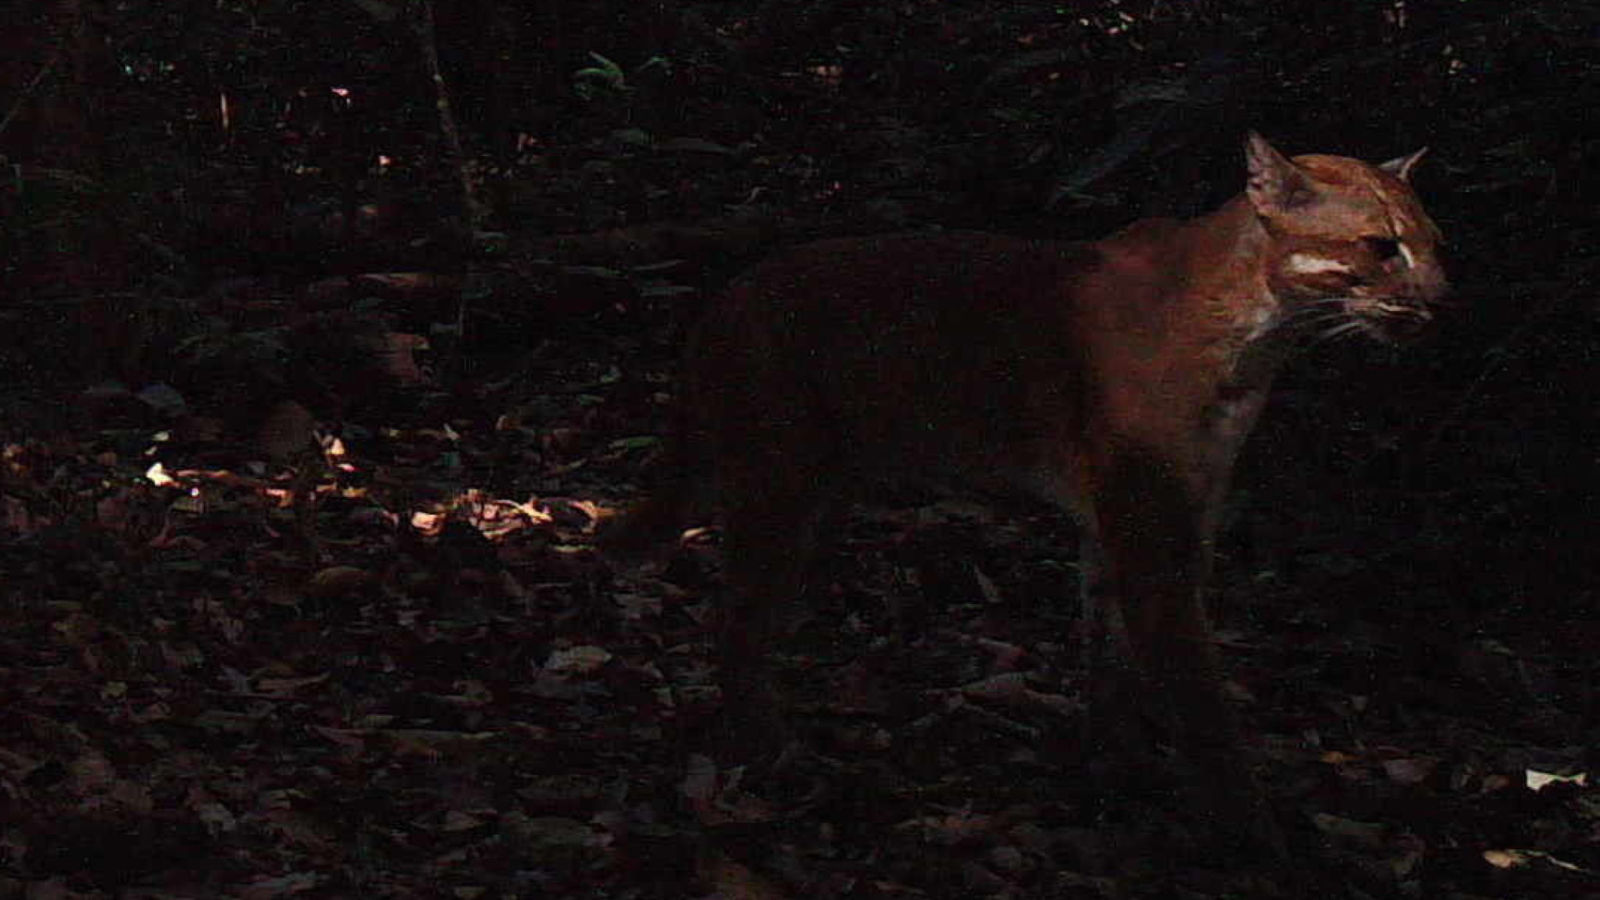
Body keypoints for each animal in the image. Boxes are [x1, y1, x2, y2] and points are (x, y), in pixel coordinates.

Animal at [601, 134, 1452, 851]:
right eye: (1381, 247)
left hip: (814, 498)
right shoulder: (1154, 536)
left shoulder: (1141, 525)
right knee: (736, 617)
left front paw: (1120, 763)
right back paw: (766, 750)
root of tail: (723, 299)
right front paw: (1254, 834)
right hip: (778, 484)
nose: (1444, 301)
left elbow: (1111, 655)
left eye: (1438, 246)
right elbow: (1200, 696)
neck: (1259, 332)